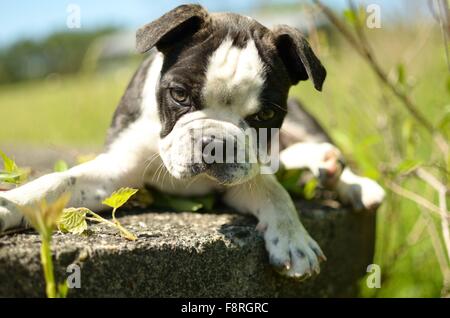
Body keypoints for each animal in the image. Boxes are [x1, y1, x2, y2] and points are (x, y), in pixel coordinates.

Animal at [0, 4, 386, 278]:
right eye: (180, 95)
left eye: (264, 116)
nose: (215, 142)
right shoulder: (117, 170)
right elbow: (60, 181)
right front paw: (12, 203)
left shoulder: (242, 174)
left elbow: (272, 188)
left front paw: (292, 240)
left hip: (302, 122)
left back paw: (347, 179)